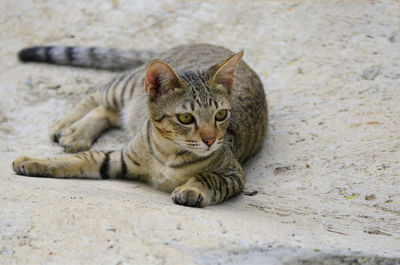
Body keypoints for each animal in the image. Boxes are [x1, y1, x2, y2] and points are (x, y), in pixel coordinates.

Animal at [11, 43, 268, 206]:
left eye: (221, 114)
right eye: (186, 118)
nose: (210, 140)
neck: (168, 154)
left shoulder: (233, 174)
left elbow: (208, 177)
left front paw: (191, 188)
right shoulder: (120, 158)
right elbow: (77, 160)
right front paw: (35, 161)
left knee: (108, 111)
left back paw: (77, 133)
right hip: (123, 87)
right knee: (95, 95)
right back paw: (67, 125)